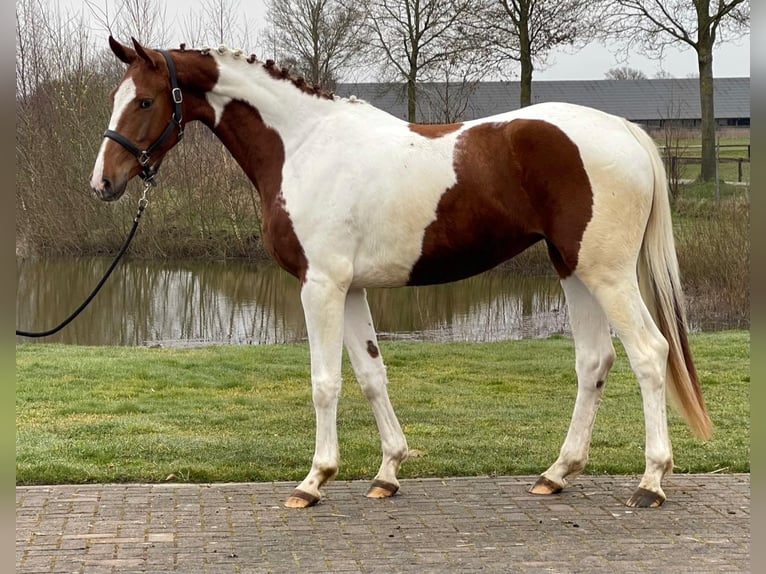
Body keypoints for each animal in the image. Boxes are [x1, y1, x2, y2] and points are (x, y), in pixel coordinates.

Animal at [91, 36, 712, 510]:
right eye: (118, 98)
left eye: (144, 101)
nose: (104, 182)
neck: (303, 145)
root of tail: (624, 131)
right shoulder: (350, 289)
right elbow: (371, 375)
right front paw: (387, 473)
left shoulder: (320, 287)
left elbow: (325, 382)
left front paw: (313, 481)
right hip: (572, 269)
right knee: (594, 361)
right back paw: (556, 474)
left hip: (608, 274)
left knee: (650, 354)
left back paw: (651, 482)